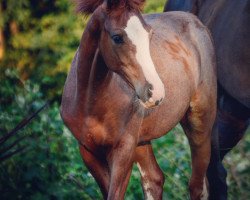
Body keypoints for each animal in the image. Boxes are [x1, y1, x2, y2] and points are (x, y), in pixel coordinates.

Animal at [60, 0, 217, 199]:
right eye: (117, 37)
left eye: (148, 35)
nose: (155, 92)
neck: (90, 103)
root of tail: (198, 23)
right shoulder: (88, 152)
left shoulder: (123, 150)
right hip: (141, 141)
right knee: (154, 179)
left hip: (200, 125)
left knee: (197, 186)